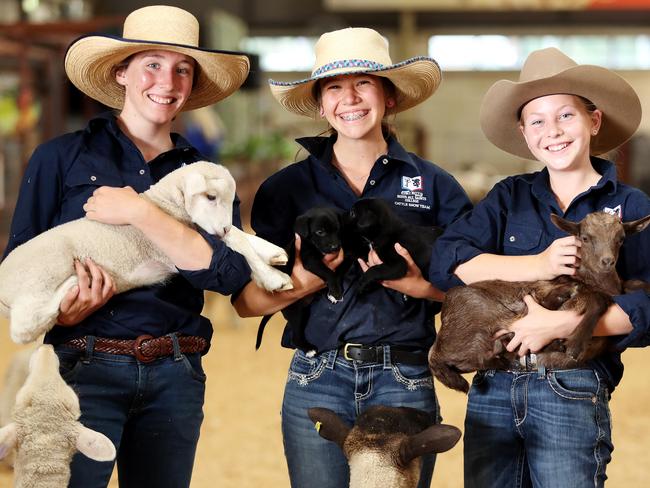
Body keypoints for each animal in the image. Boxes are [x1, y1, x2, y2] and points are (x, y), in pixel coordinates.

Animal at [0, 160, 288, 344]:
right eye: (210, 197)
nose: (223, 227)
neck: (163, 205)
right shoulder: (169, 248)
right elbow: (235, 242)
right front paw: (274, 278)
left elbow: (239, 236)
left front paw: (273, 253)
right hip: (43, 275)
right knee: (23, 328)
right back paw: (72, 284)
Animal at [253, 207, 344, 354]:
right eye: (320, 232)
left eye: (338, 229)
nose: (336, 247)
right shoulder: (310, 259)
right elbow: (329, 272)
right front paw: (335, 292)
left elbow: (339, 271)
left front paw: (334, 292)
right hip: (295, 312)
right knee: (295, 337)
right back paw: (309, 349)